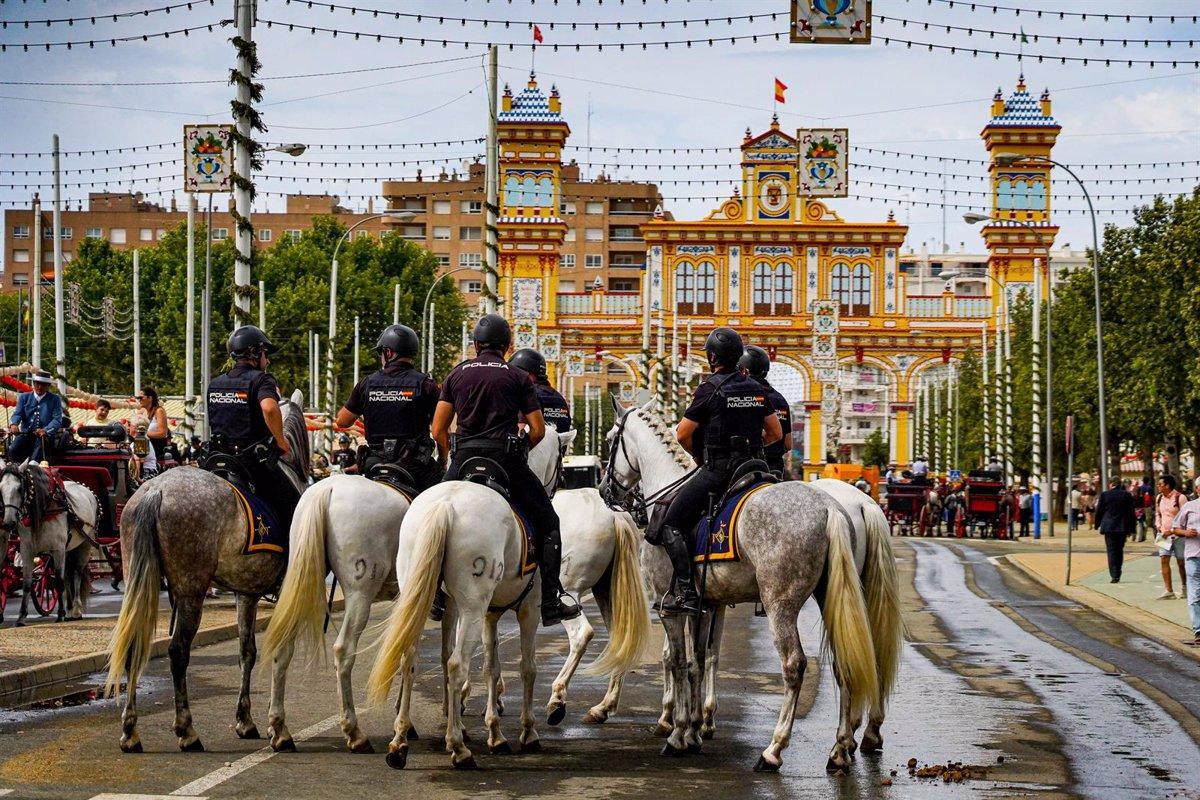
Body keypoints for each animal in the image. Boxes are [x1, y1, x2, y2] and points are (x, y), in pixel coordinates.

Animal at [0, 455, 99, 623]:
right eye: (0, 489)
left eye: (19, 488)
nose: (8, 523)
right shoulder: (27, 550)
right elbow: (27, 582)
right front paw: (21, 616)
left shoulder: (58, 548)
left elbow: (58, 581)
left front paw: (60, 614)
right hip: (68, 549)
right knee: (68, 575)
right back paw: (70, 609)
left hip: (84, 544)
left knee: (77, 574)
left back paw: (76, 609)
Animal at [604, 402, 878, 772]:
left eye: (609, 439)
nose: (604, 490)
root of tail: (830, 507)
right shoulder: (703, 604)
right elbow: (698, 661)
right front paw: (693, 730)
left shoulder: (667, 605)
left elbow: (676, 660)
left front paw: (677, 733)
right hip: (834, 598)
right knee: (844, 662)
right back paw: (840, 749)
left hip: (780, 604)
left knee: (794, 665)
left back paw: (774, 749)